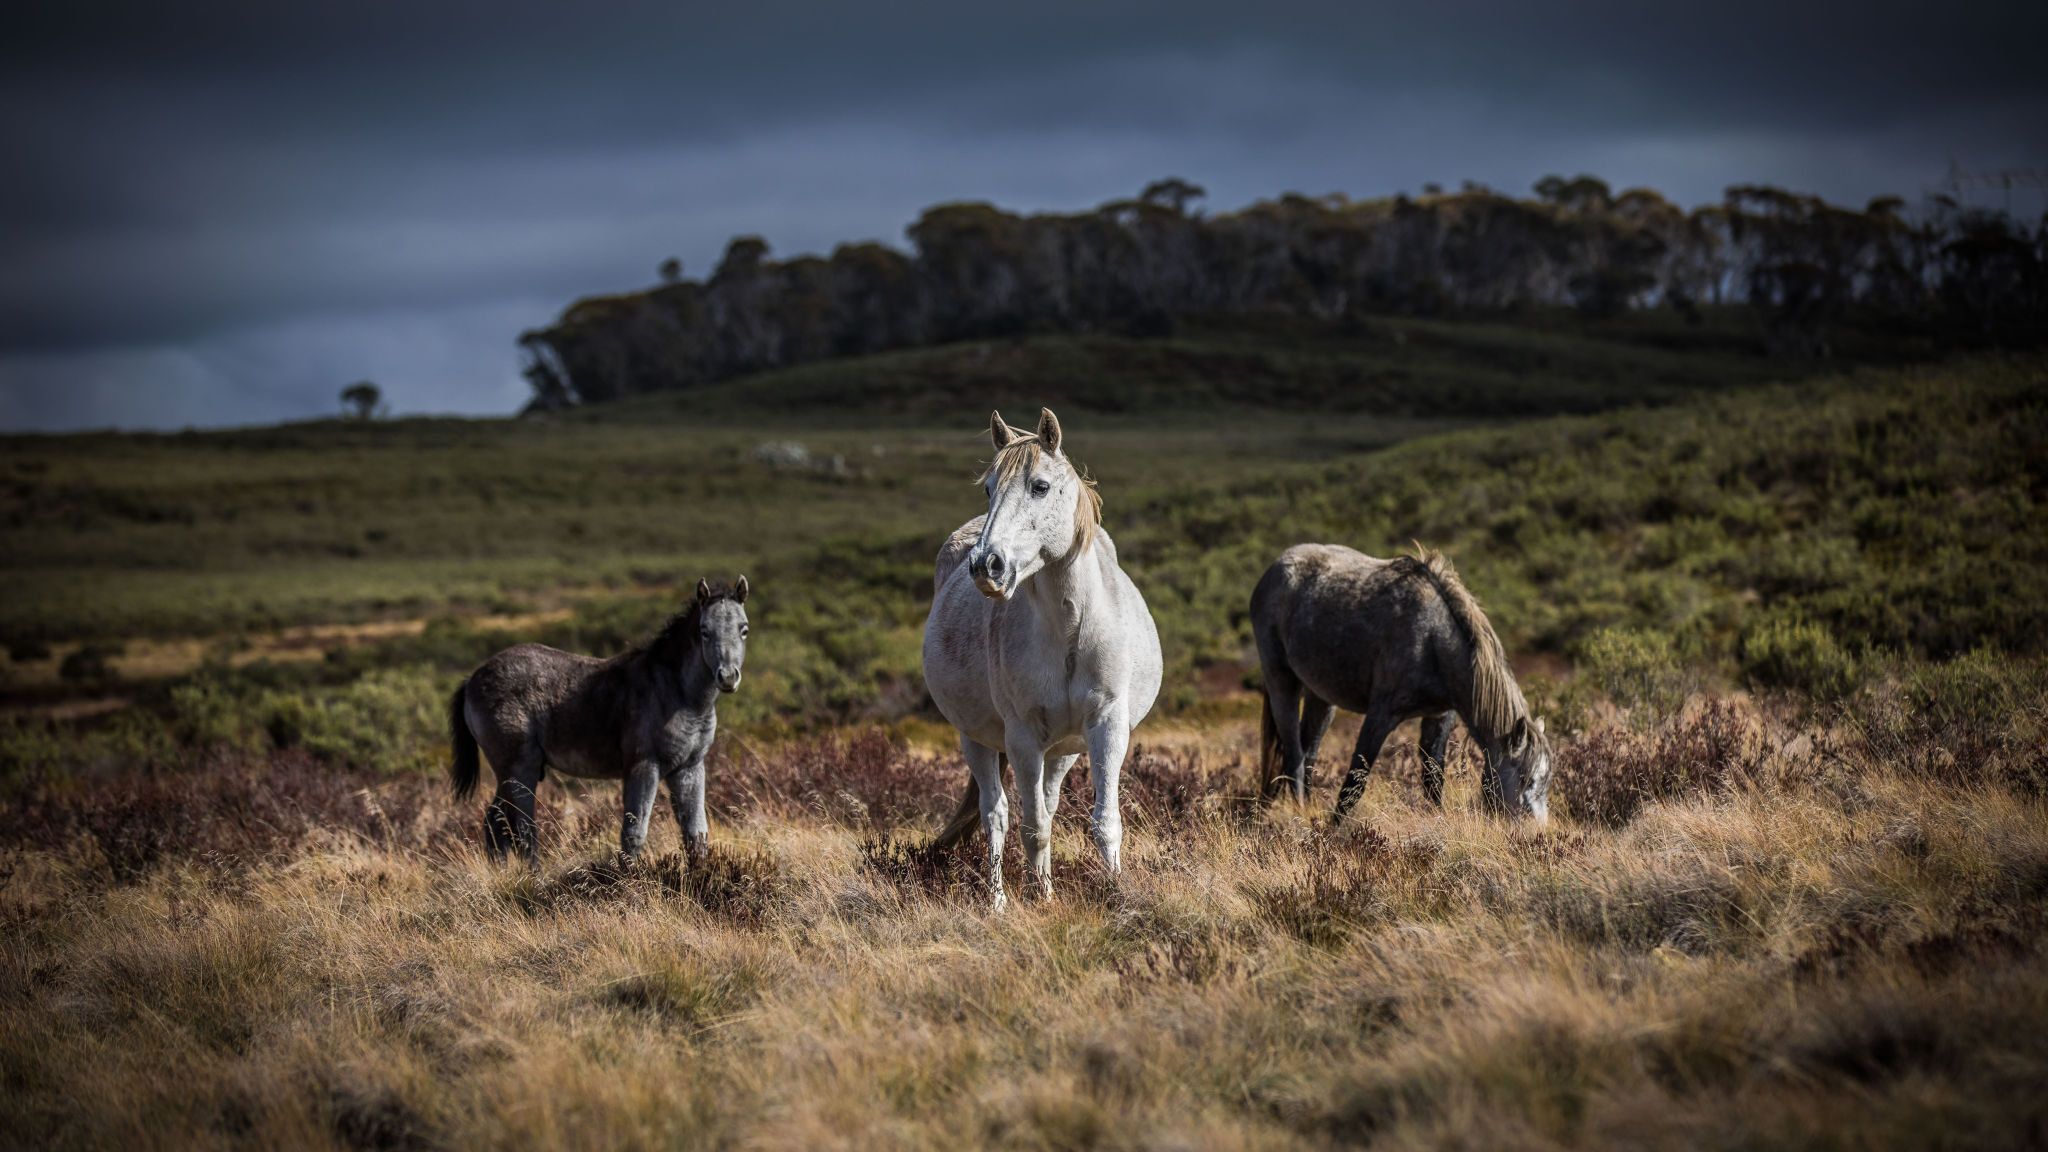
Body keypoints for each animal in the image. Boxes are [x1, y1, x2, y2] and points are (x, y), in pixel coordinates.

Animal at [444, 578, 749, 856]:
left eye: (744, 629)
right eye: (704, 631)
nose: (727, 677)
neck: (678, 693)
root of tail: (472, 679)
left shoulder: (689, 768)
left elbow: (696, 835)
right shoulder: (643, 766)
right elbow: (634, 833)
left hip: (508, 773)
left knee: (495, 823)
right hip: (519, 769)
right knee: (523, 830)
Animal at [921, 405, 1163, 906]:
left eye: (1040, 486)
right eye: (989, 488)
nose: (986, 565)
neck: (1068, 630)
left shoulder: (1106, 727)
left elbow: (1103, 822)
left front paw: (1116, 894)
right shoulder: (1022, 738)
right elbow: (1031, 829)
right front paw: (1041, 901)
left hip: (1063, 751)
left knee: (1043, 807)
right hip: (976, 739)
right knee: (996, 815)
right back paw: (997, 901)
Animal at [1245, 545, 1548, 815]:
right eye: (1526, 779)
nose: (1535, 831)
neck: (1434, 641)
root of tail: (1274, 570)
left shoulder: (1439, 717)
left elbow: (1433, 776)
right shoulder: (1380, 716)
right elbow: (1355, 781)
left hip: (1321, 696)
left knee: (1309, 751)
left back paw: (1307, 808)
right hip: (1281, 682)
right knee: (1293, 754)